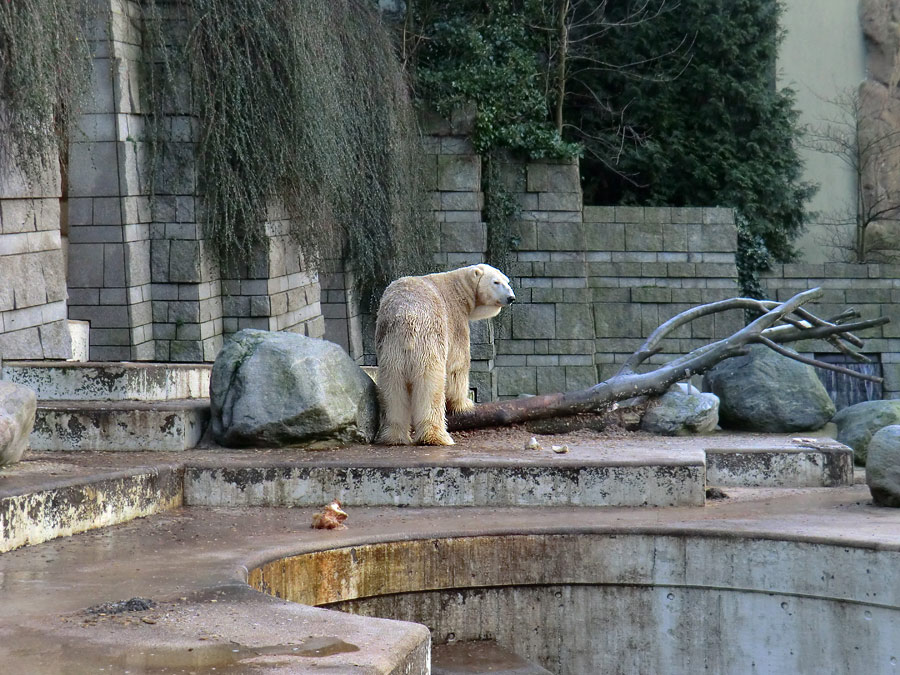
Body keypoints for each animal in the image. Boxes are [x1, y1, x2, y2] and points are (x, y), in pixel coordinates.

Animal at [372, 266, 512, 448]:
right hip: (428, 341)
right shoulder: (455, 319)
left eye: (507, 281)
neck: (458, 287)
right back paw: (436, 436)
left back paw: (394, 437)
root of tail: (406, 318)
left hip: (389, 349)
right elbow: (457, 364)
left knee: (392, 388)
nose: (511, 298)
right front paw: (465, 404)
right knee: (432, 387)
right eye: (496, 282)